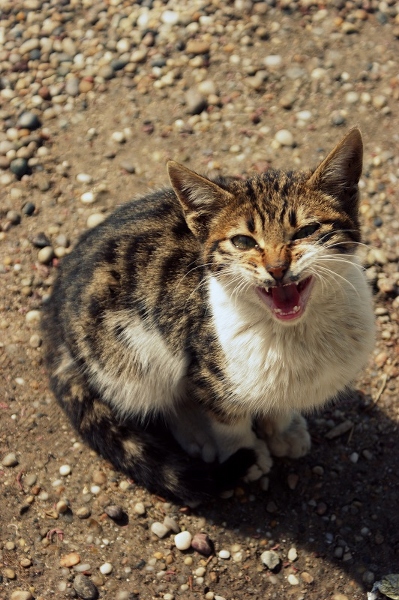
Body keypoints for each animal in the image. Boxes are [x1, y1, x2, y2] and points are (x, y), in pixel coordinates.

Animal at [42, 129, 376, 504]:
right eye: (243, 241)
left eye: (306, 230)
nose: (277, 268)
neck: (295, 333)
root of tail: (53, 310)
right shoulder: (206, 364)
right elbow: (226, 417)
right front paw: (246, 453)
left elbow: (276, 398)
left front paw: (282, 428)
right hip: (130, 345)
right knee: (159, 391)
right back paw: (198, 436)